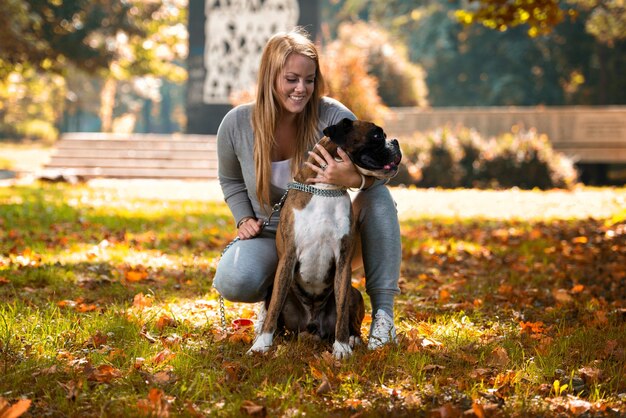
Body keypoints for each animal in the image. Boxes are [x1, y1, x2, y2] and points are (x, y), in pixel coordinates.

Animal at [245, 118, 400, 360]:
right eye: (377, 135)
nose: (395, 142)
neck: (326, 189)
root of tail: (312, 325)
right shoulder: (288, 257)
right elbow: (274, 309)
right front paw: (261, 345)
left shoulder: (343, 261)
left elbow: (342, 311)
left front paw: (342, 347)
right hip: (276, 292)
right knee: (275, 310)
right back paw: (274, 337)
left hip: (355, 292)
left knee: (350, 319)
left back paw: (353, 338)